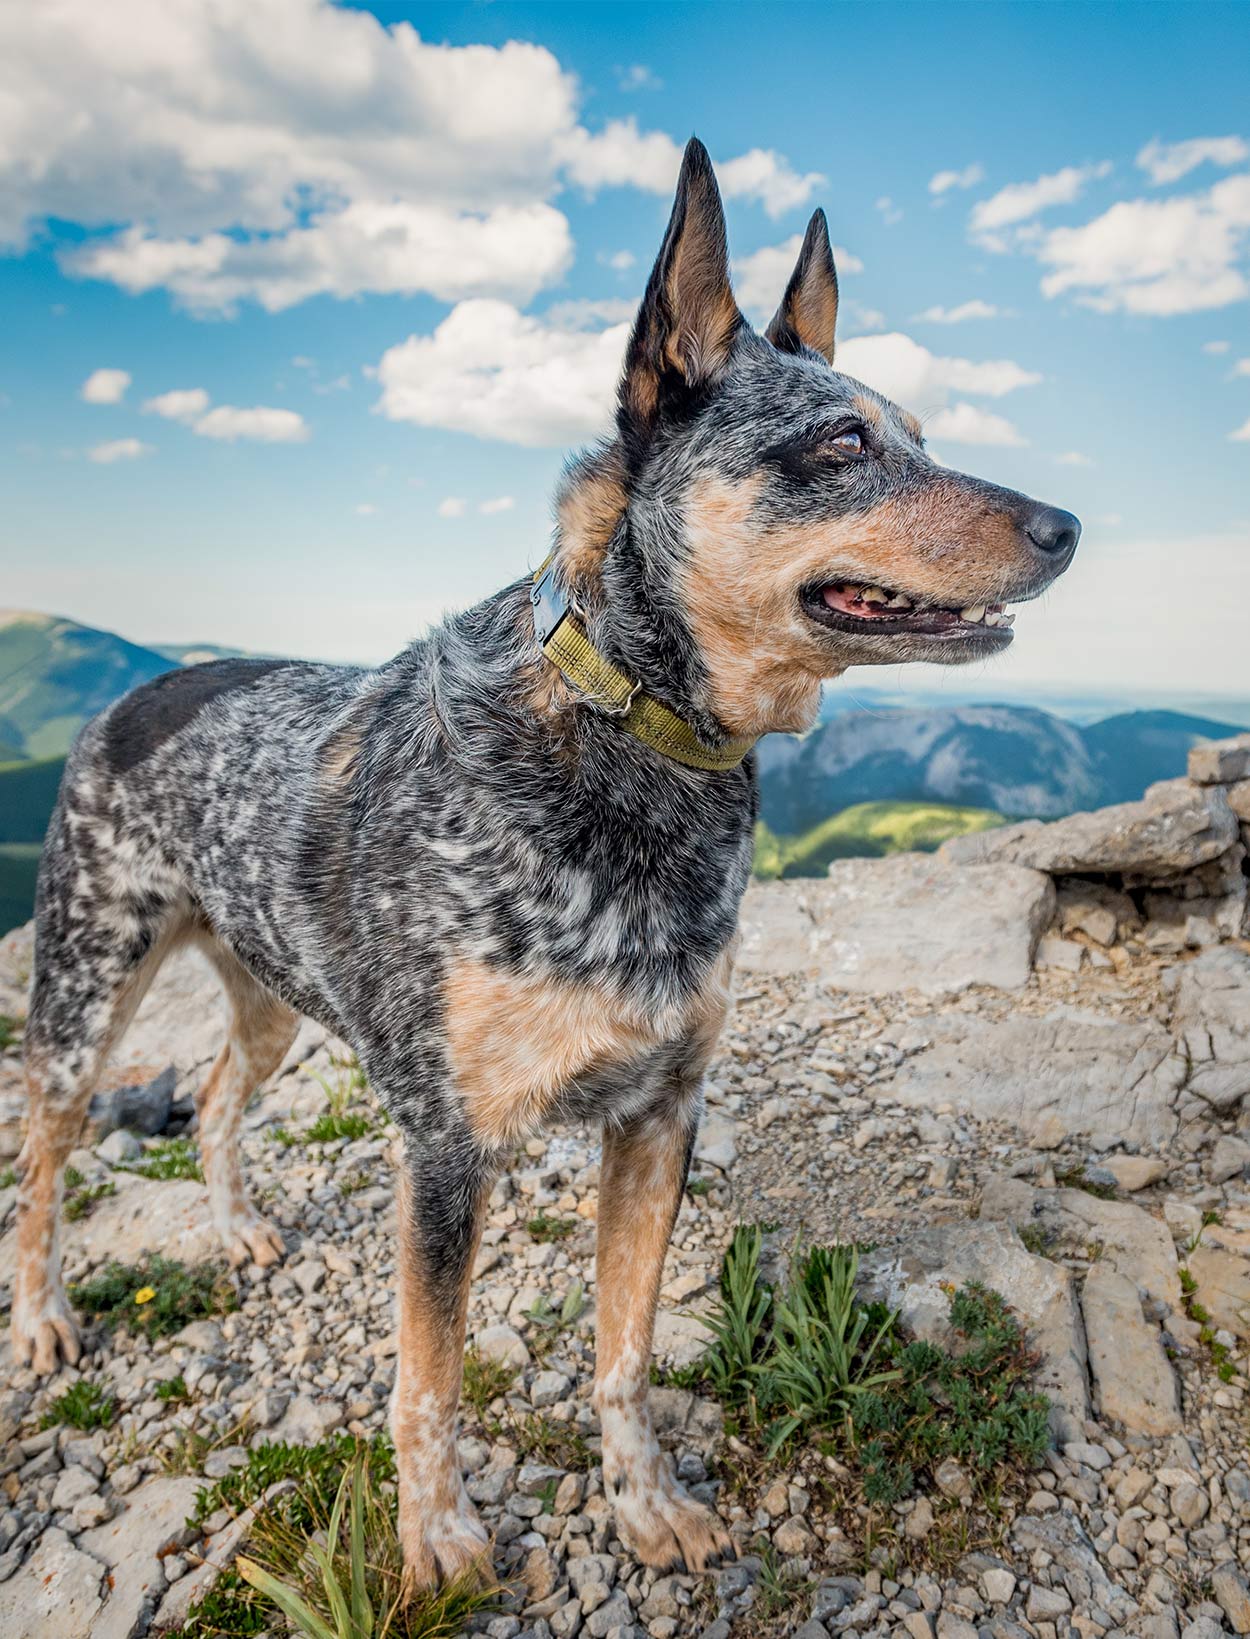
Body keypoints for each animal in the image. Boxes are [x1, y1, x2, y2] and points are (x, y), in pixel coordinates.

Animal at [9, 134, 1081, 1593]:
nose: (1068, 525)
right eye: (845, 441)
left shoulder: (659, 1115)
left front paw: (644, 1500)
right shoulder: (445, 1148)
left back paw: (232, 1225)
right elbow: (427, 1378)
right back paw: (42, 1317)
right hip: (84, 988)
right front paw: (436, 1536)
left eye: (918, 430)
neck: (629, 738)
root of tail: (134, 688)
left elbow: (622, 1350)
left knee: (222, 1096)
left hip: (270, 992)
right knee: (42, 1160)